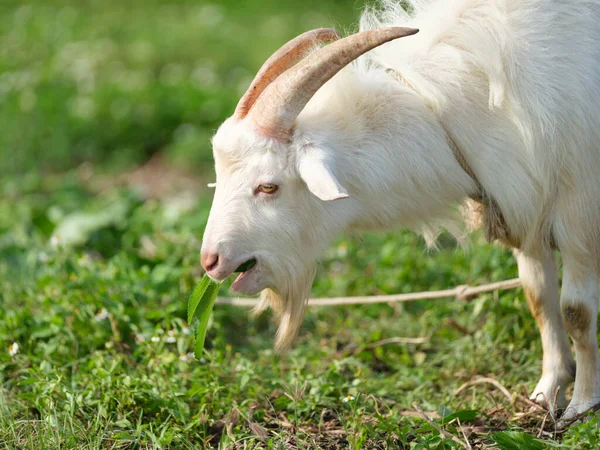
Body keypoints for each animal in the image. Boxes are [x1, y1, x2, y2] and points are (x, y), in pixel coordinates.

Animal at [202, 0, 600, 424]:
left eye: (268, 186)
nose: (211, 260)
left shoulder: (579, 215)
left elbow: (576, 312)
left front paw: (581, 405)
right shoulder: (525, 208)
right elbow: (539, 299)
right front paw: (546, 392)